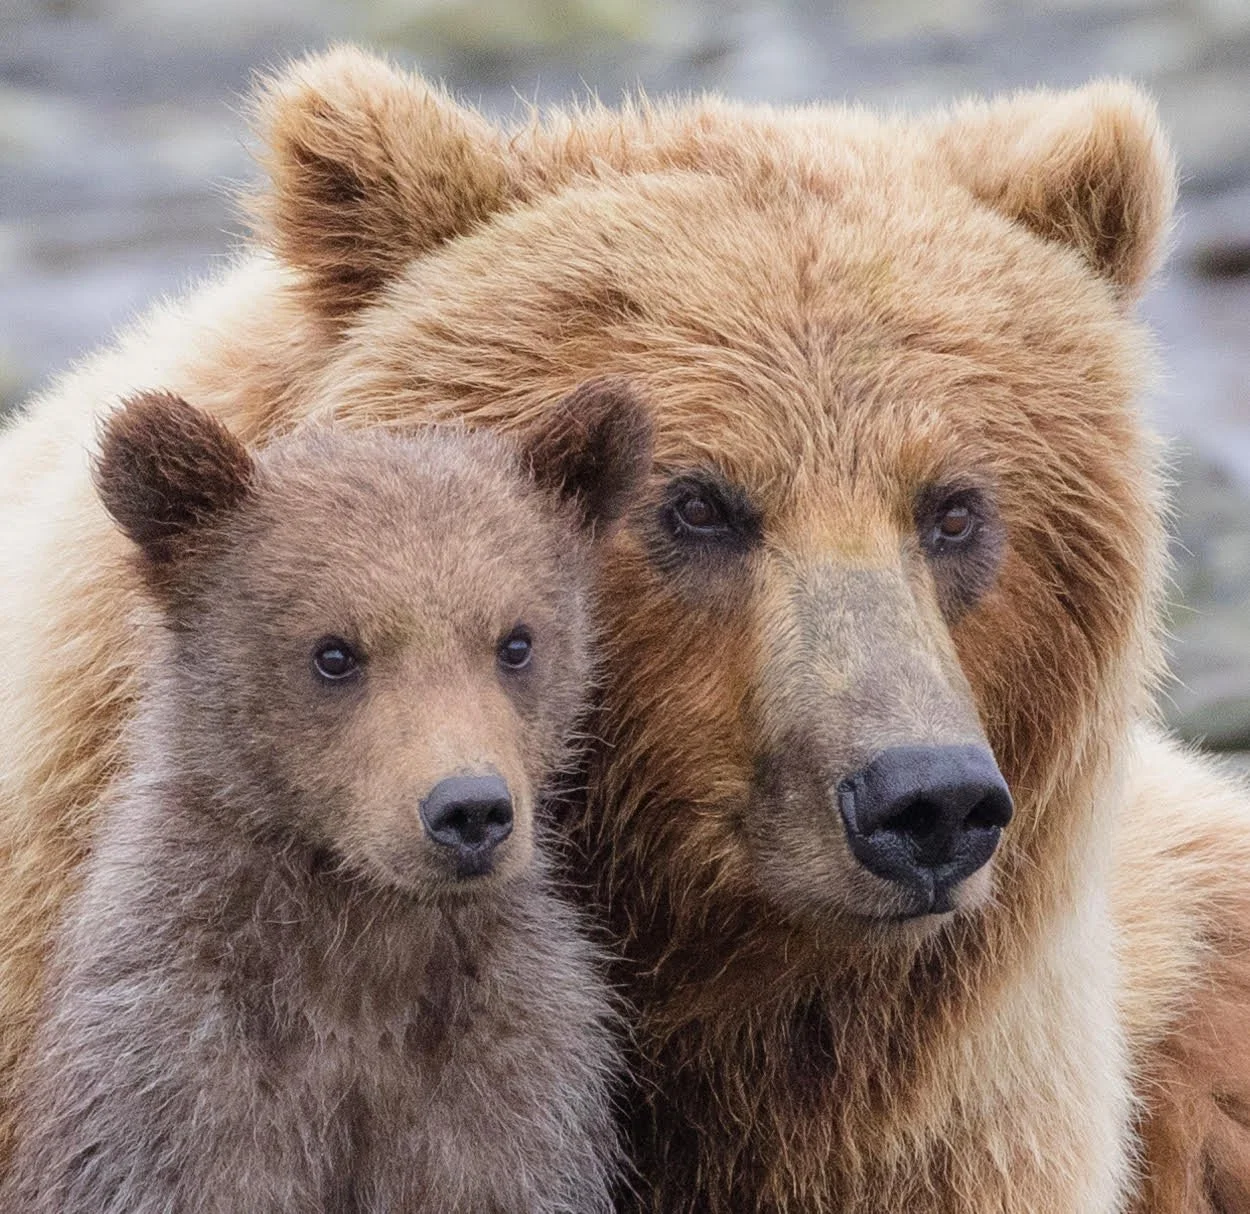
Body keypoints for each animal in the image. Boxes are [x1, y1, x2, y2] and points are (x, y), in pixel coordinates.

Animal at [0, 381, 652, 1213]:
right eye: (334, 653)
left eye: (516, 641)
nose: (469, 811)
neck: (355, 964)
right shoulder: (175, 1087)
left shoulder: (509, 1088)